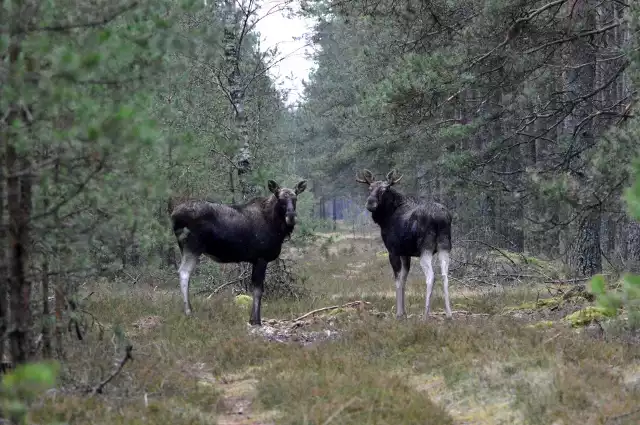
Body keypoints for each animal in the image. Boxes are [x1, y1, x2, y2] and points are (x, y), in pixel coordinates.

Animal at [170, 179, 308, 324]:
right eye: (280, 199)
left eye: (295, 198)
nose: (291, 216)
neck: (276, 226)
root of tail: (174, 215)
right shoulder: (261, 258)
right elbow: (258, 290)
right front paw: (256, 321)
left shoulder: (255, 260)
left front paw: (252, 319)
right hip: (193, 246)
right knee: (184, 272)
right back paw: (188, 311)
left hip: (184, 248)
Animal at [356, 168, 456, 318]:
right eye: (369, 188)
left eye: (384, 190)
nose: (370, 203)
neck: (385, 219)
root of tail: (440, 218)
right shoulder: (405, 253)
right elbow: (404, 279)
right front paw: (404, 312)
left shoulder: (393, 251)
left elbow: (397, 280)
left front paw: (398, 313)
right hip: (445, 245)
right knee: (445, 275)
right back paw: (449, 314)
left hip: (425, 248)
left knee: (431, 276)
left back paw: (426, 314)